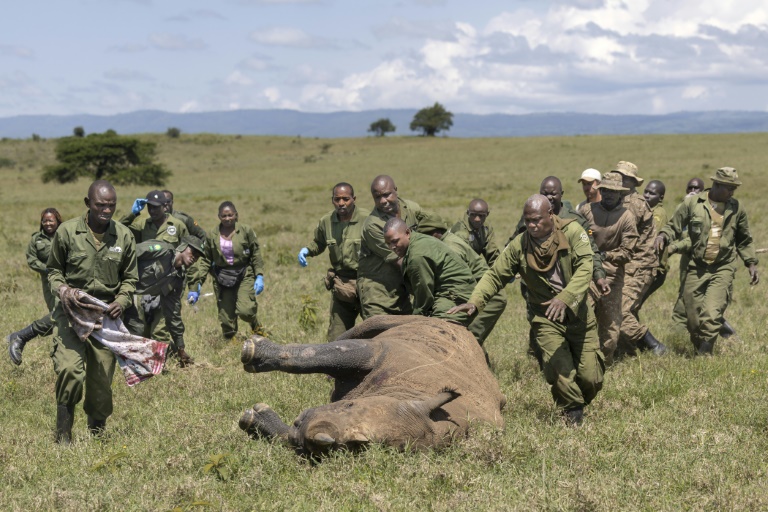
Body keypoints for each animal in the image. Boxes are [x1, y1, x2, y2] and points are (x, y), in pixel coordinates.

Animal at [238, 315, 506, 454]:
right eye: (349, 405)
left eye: (356, 446)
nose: (311, 429)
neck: (407, 392)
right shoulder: (379, 352)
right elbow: (321, 354)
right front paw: (253, 351)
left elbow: (290, 439)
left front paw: (256, 419)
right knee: (368, 326)